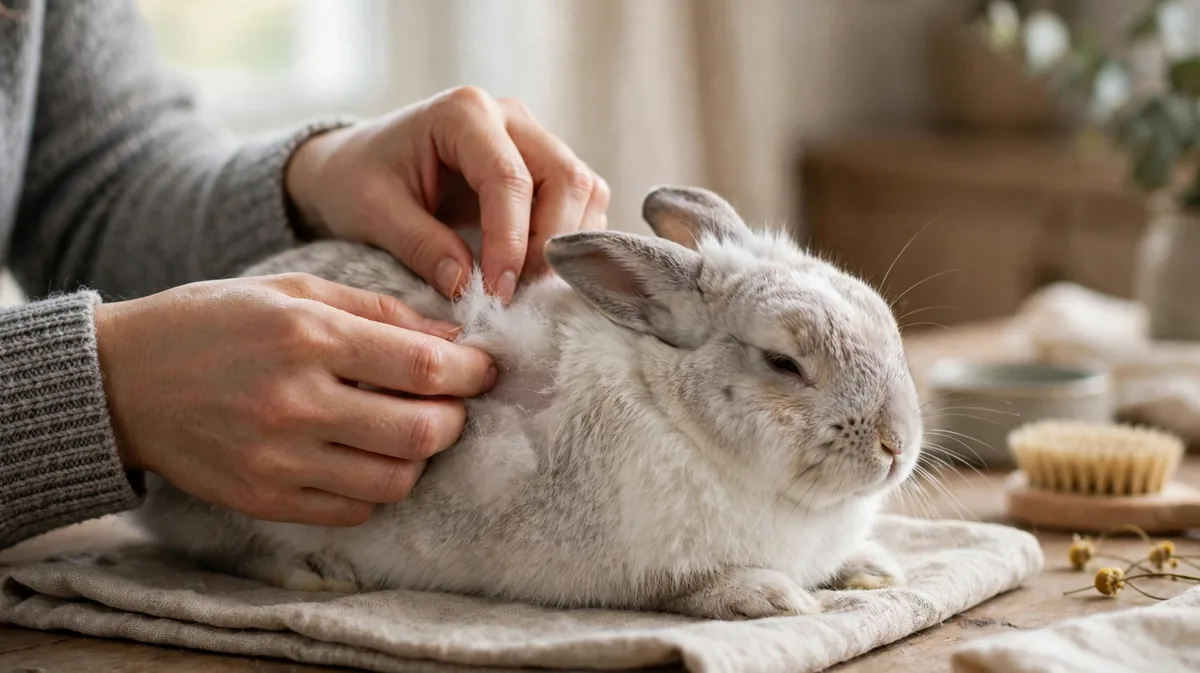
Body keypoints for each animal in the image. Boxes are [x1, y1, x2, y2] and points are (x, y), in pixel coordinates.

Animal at [129, 185, 923, 620]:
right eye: (783, 363)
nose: (897, 446)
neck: (671, 408)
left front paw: (872, 569)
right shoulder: (644, 571)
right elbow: (697, 587)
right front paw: (769, 598)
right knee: (219, 551)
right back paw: (315, 572)